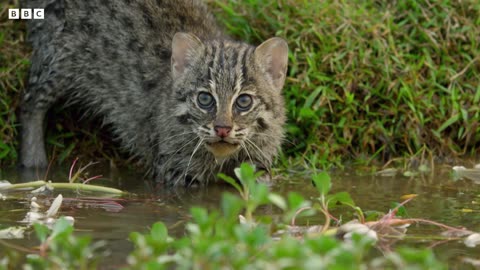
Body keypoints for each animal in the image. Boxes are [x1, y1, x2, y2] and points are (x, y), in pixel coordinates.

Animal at [18, 0, 286, 186]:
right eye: (205, 99)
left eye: (244, 101)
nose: (222, 129)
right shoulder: (173, 170)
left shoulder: (257, 164)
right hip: (58, 58)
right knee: (30, 102)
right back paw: (33, 163)